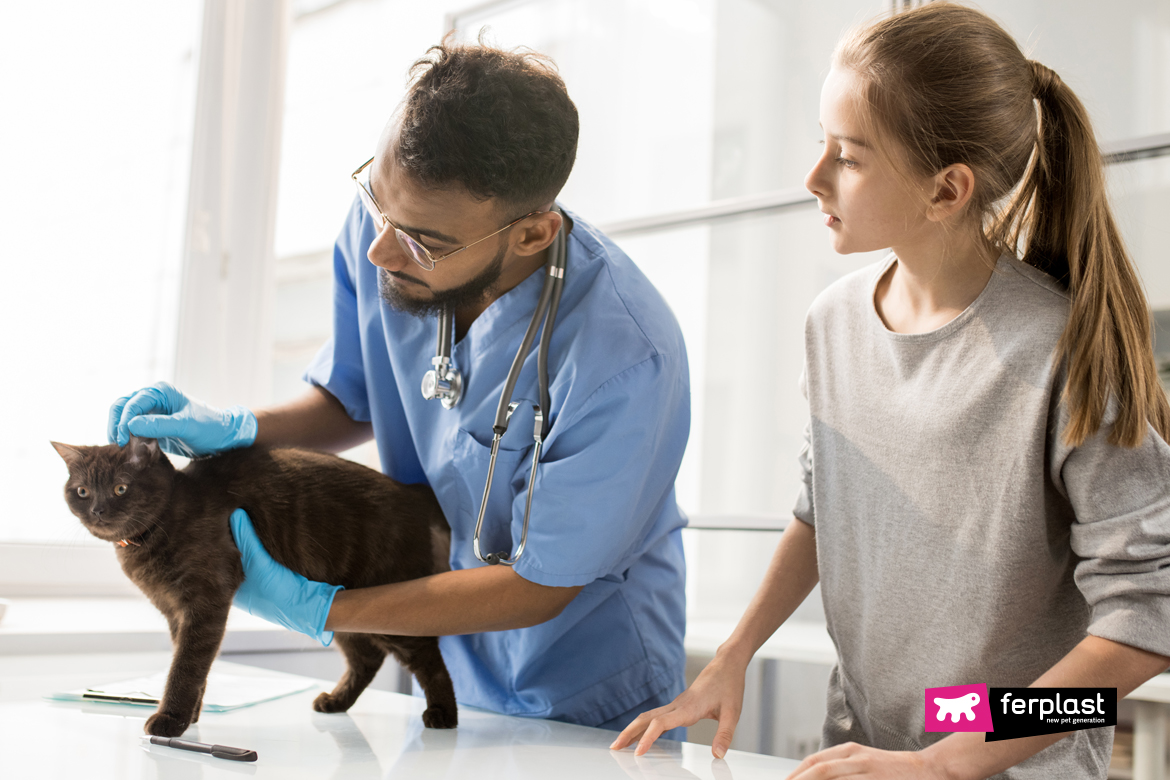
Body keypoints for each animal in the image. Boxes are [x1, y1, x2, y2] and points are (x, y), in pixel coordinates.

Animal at [52, 439, 458, 739]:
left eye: (120, 487)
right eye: (82, 491)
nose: (98, 510)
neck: (158, 528)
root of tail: (413, 492)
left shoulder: (205, 603)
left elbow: (186, 665)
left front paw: (171, 719)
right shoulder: (175, 613)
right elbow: (191, 664)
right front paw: (192, 715)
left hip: (392, 602)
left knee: (428, 658)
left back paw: (443, 713)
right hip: (345, 607)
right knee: (367, 657)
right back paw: (335, 701)